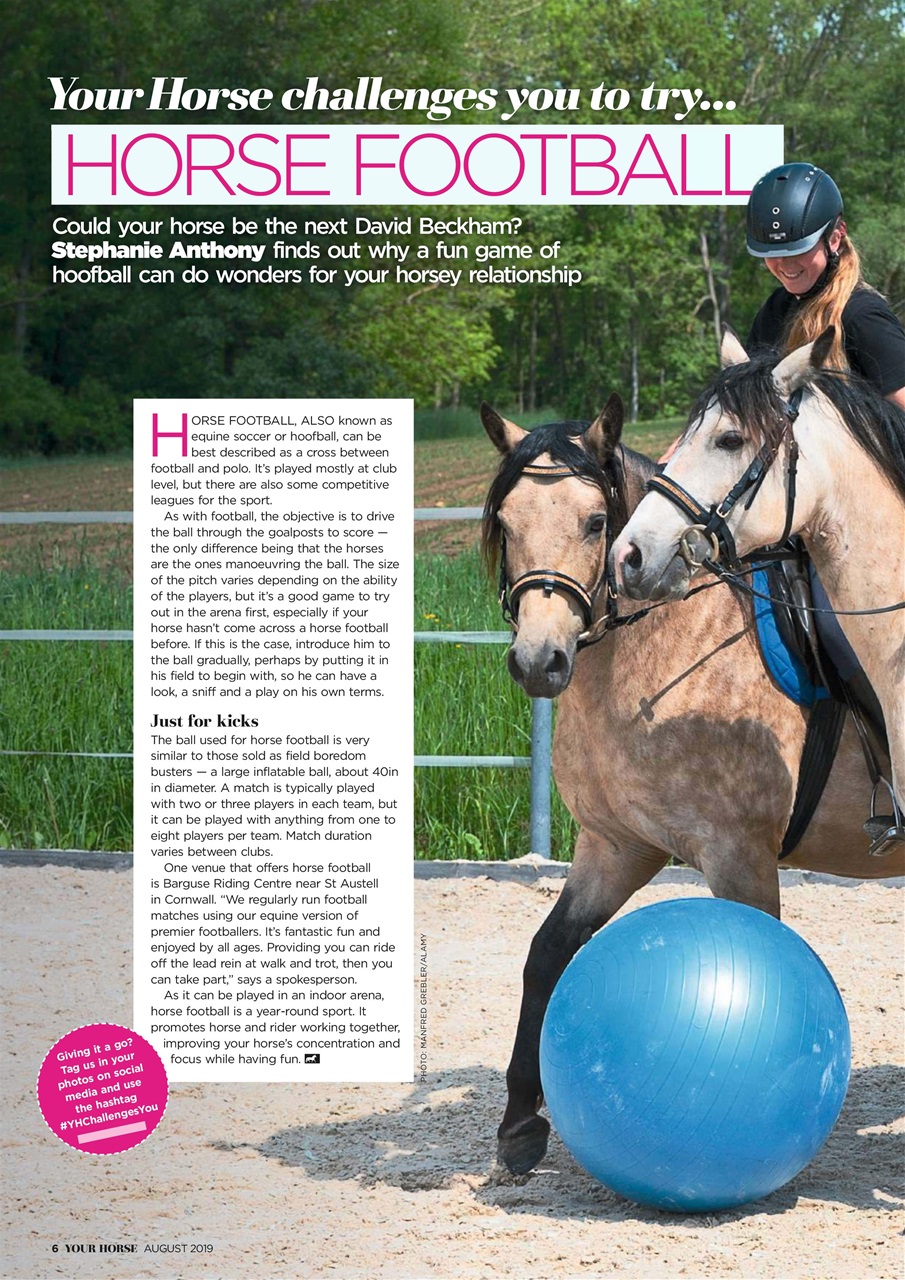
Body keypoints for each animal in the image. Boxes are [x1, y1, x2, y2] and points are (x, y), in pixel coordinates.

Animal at [480, 396, 902, 1178]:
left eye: (594, 521)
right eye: (507, 523)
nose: (538, 661)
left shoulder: (738, 856)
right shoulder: (617, 846)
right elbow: (547, 953)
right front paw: (520, 1123)